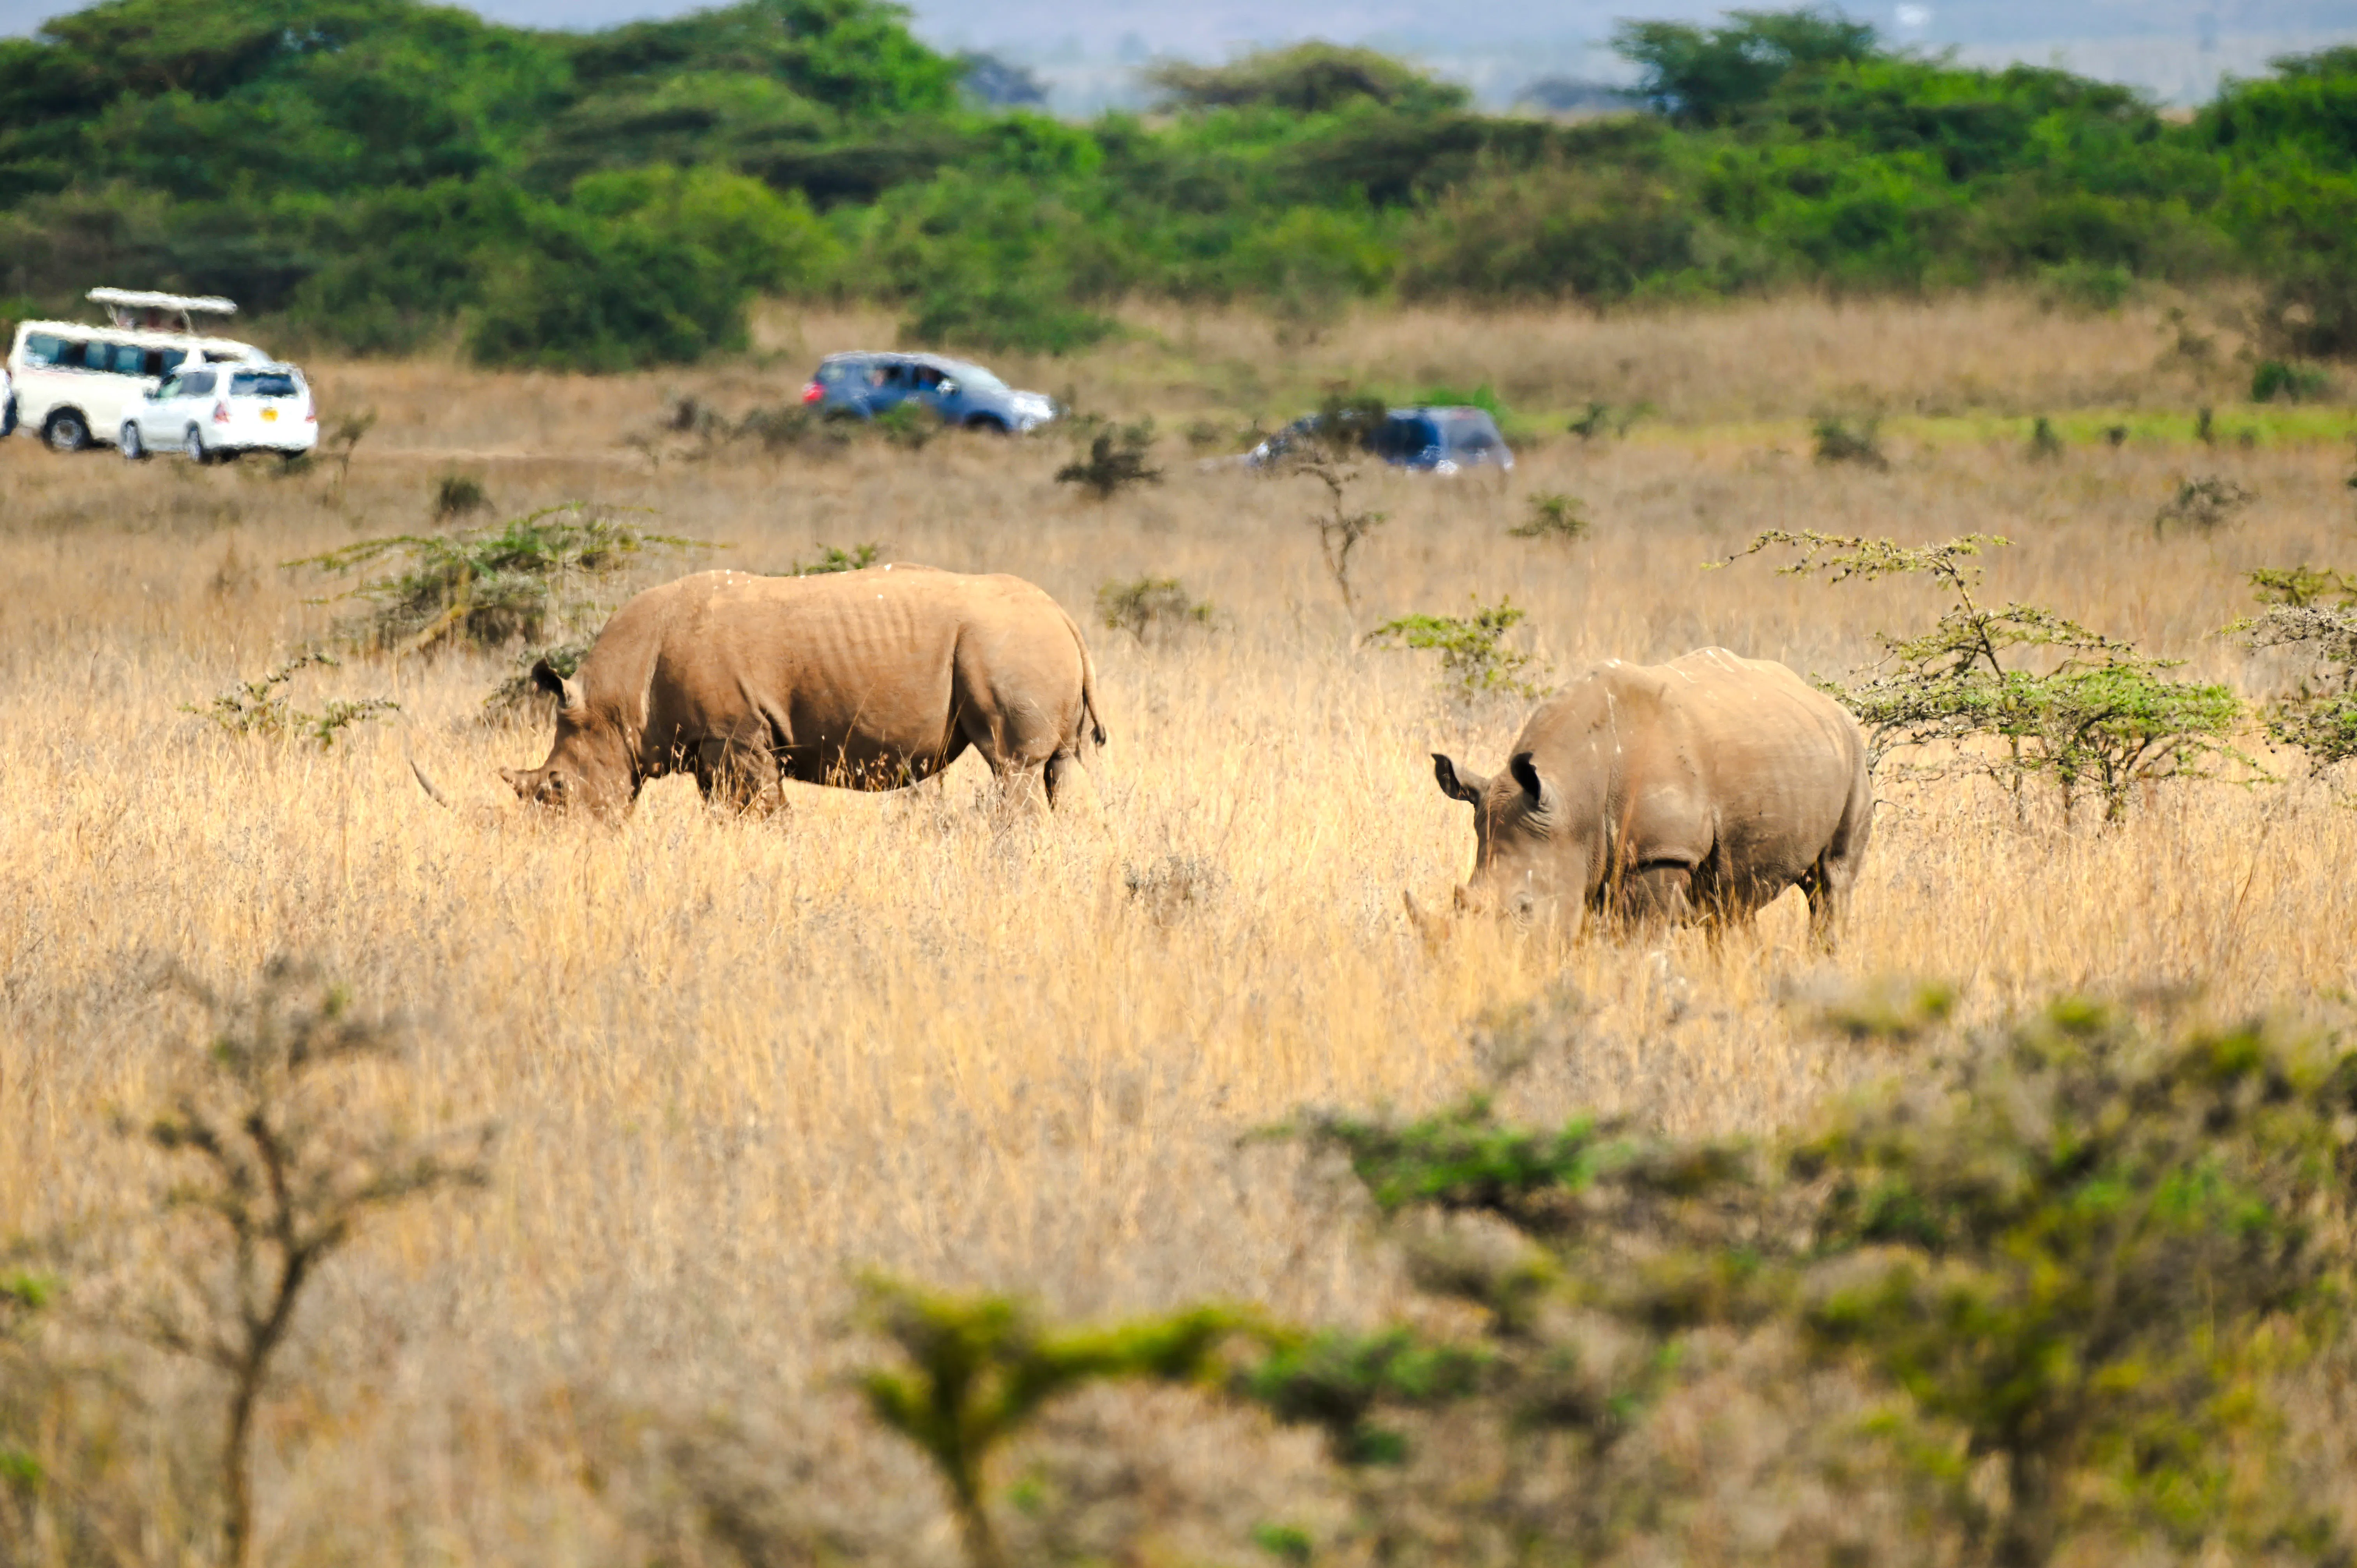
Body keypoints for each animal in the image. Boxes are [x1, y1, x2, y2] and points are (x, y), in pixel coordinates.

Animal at [500, 565, 1106, 817]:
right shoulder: (707, 742)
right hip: (1028, 642)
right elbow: (724, 811)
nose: (566, 839)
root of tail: (1061, 614)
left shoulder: (736, 733)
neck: (619, 696)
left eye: (557, 788)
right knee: (1061, 766)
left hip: (1007, 644)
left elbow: (763, 808)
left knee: (1014, 767)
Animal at [1426, 648, 1871, 946]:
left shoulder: (1661, 853)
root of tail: (1826, 701)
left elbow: (1639, 942)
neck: (1571, 800)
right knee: (1732, 901)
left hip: (1853, 751)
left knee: (1832, 881)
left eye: (1525, 908)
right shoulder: (1584, 855)